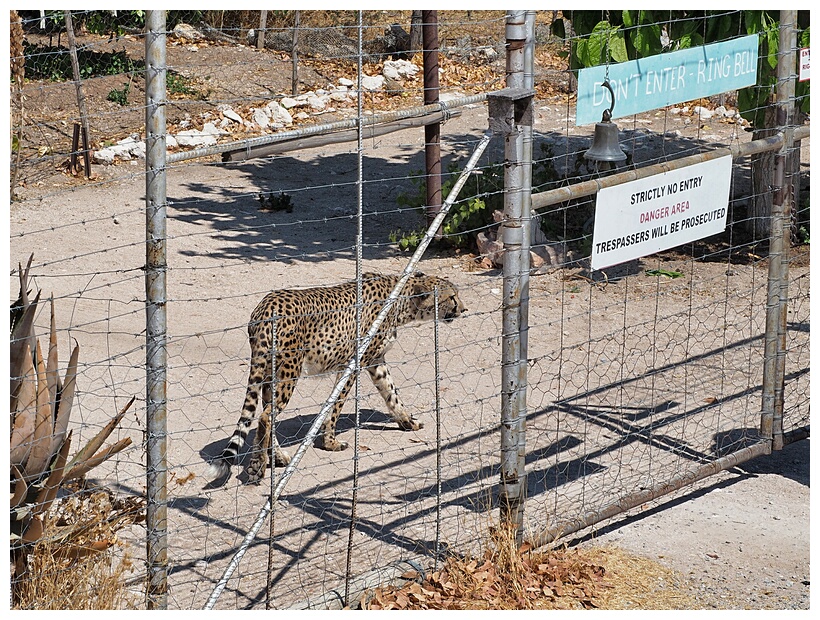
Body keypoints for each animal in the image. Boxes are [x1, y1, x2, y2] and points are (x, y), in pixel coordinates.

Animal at [208, 270, 464, 480]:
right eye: (452, 297)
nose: (464, 309)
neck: (401, 300)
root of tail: (266, 305)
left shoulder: (375, 361)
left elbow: (391, 394)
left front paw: (408, 421)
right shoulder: (353, 364)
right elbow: (336, 405)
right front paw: (330, 442)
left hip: (271, 374)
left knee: (265, 411)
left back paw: (277, 457)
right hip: (289, 371)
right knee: (266, 416)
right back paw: (258, 466)